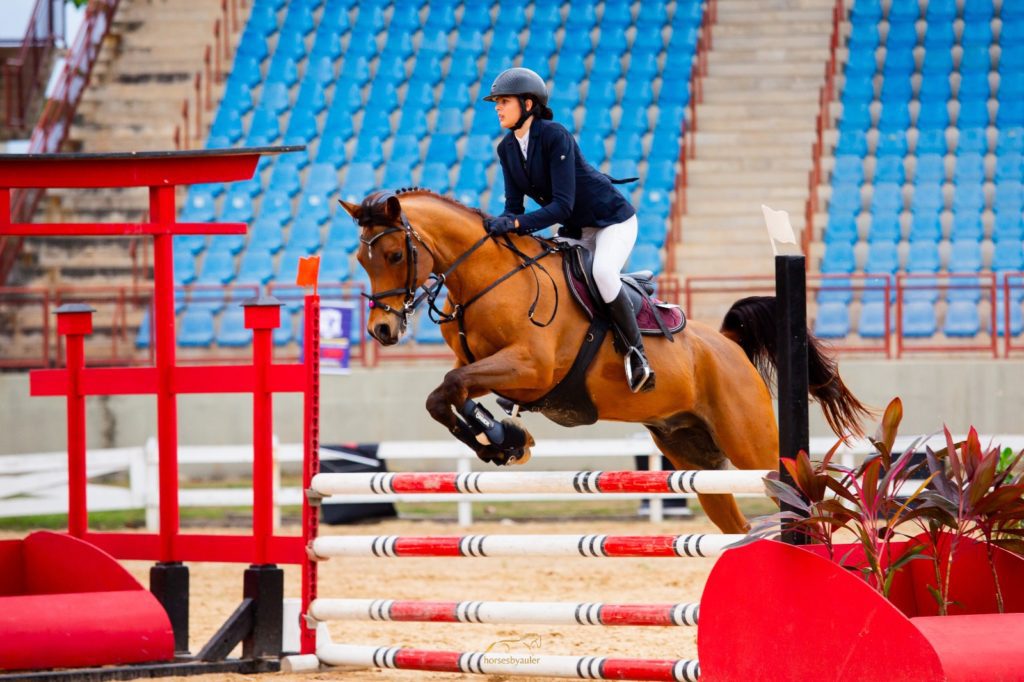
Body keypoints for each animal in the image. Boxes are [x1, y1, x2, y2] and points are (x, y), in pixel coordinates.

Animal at [339, 188, 868, 532]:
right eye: (362, 260)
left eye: (393, 253)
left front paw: (504, 439)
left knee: (805, 497)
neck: (486, 279)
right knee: (735, 526)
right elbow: (447, 393)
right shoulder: (493, 371)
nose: (382, 331)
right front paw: (504, 441)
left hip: (751, 443)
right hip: (694, 454)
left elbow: (451, 385)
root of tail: (726, 344)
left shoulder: (531, 369)